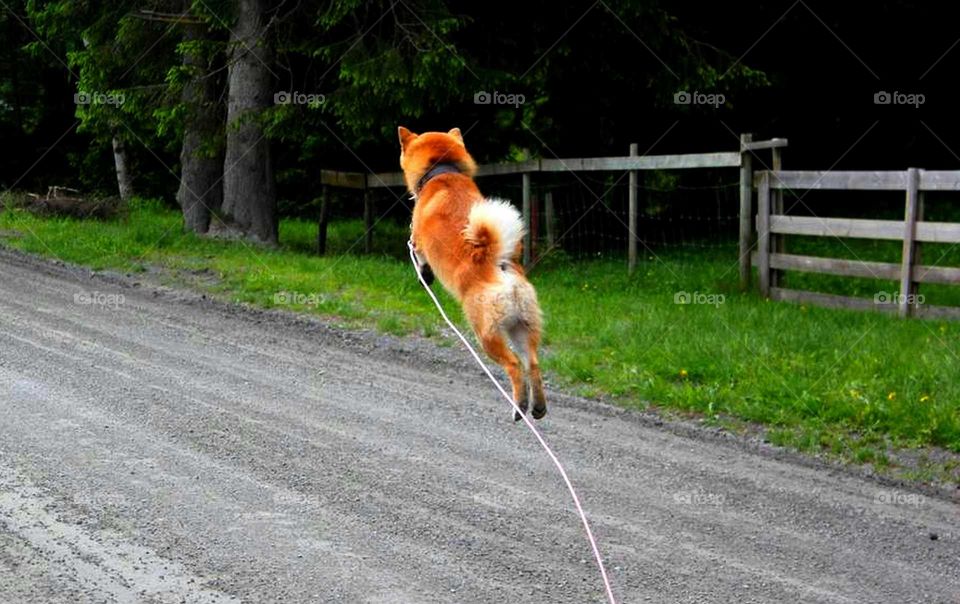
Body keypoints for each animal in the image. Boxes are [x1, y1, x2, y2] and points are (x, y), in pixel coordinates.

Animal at [398, 127, 548, 420]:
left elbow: (419, 256)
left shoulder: (417, 241)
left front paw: (424, 275)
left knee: (514, 366)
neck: (442, 172)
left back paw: (519, 406)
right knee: (532, 364)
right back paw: (537, 406)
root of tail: (500, 264)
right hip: (522, 327)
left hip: (486, 334)